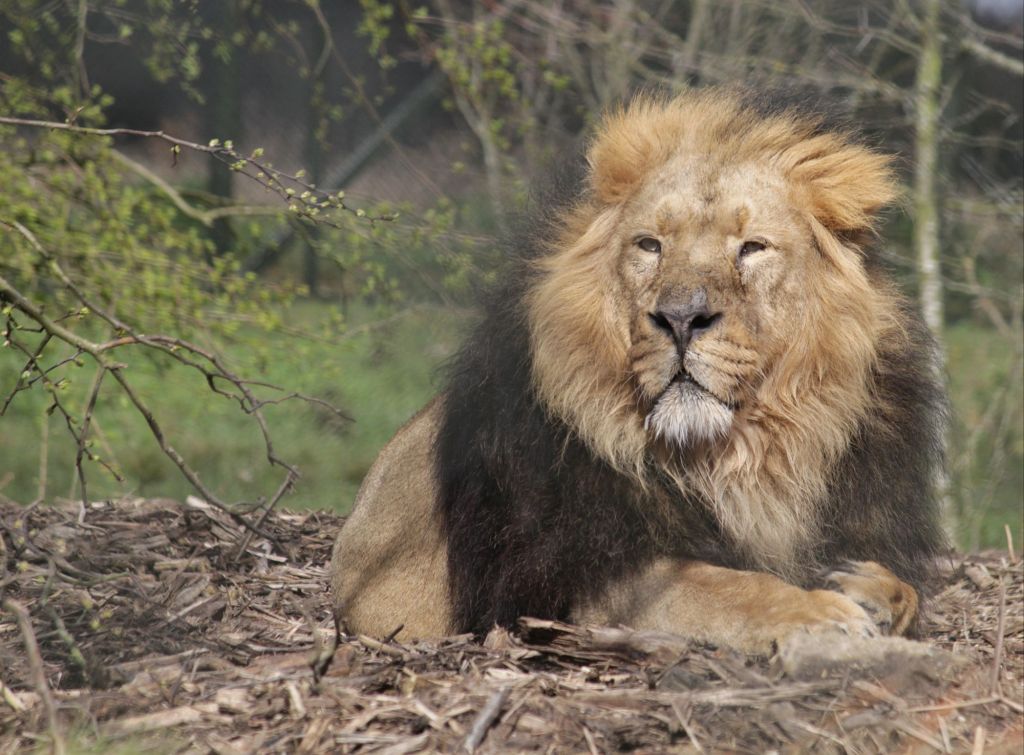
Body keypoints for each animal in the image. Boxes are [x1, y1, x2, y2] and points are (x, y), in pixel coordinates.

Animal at [330, 88, 946, 656]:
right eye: (650, 245)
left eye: (752, 248)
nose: (680, 318)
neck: (738, 464)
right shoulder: (573, 580)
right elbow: (722, 588)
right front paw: (818, 612)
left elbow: (907, 589)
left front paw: (872, 589)